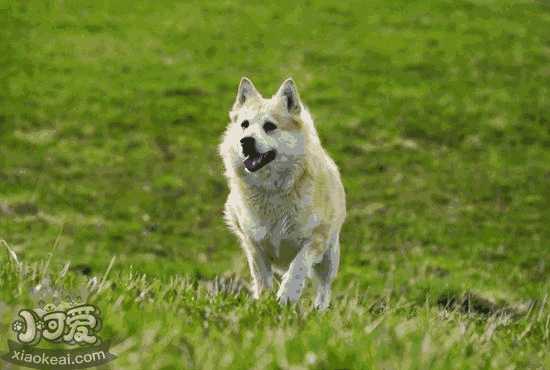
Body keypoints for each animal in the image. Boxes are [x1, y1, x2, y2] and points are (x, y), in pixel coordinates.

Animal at [219, 77, 344, 310]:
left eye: (269, 126)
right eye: (244, 125)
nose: (245, 141)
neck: (272, 190)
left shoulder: (316, 238)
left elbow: (298, 266)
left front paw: (287, 295)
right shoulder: (253, 243)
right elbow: (262, 278)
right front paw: (264, 302)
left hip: (330, 257)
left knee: (324, 287)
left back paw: (319, 310)